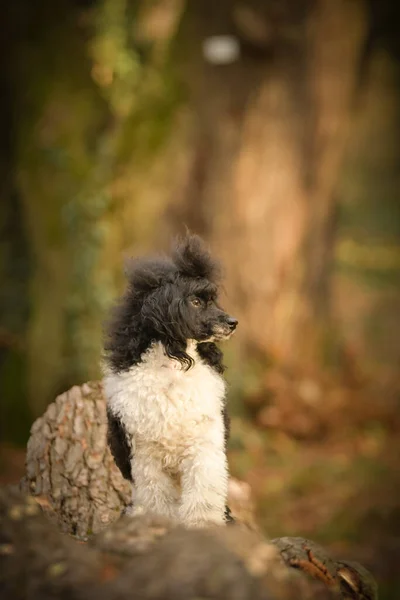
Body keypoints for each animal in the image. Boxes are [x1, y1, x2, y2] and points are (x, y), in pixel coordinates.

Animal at [103, 232, 238, 528]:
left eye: (213, 299)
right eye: (196, 302)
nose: (233, 322)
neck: (174, 367)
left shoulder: (204, 447)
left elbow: (203, 498)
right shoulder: (145, 456)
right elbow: (159, 502)